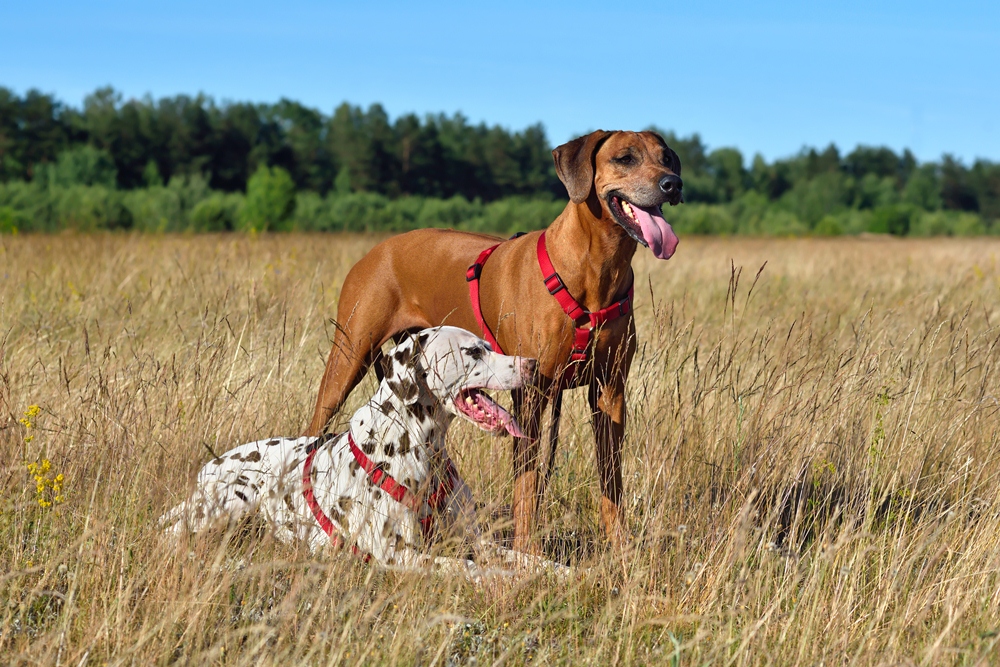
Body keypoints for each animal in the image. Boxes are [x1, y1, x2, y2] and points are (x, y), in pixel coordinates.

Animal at [162, 328, 540, 580]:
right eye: (473, 352)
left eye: (489, 346)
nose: (532, 364)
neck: (419, 449)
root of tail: (208, 468)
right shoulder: (399, 555)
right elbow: (475, 569)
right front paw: (510, 581)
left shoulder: (473, 541)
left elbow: (524, 559)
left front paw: (550, 571)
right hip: (232, 504)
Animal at [302, 129, 680, 552]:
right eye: (625, 158)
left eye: (667, 158)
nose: (673, 184)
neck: (596, 271)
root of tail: (376, 249)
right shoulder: (531, 394)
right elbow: (527, 484)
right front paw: (527, 549)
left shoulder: (610, 390)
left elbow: (610, 477)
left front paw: (620, 546)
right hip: (348, 356)